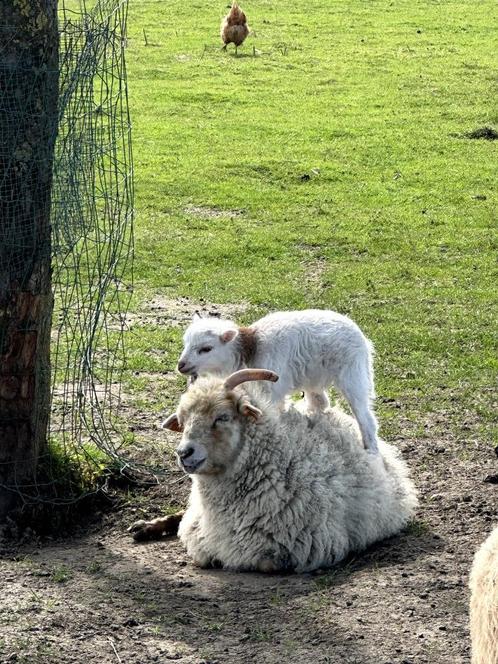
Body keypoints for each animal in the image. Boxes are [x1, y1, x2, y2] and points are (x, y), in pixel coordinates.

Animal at [128, 368, 416, 572]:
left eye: (222, 417)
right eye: (183, 420)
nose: (184, 453)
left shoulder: (304, 549)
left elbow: (257, 561)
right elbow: (196, 544)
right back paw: (144, 527)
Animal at [177, 308, 380, 454]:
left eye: (206, 349)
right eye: (185, 343)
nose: (181, 366)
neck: (249, 349)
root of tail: (363, 339)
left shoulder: (272, 389)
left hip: (353, 374)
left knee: (365, 416)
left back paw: (371, 450)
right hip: (314, 375)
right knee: (321, 403)